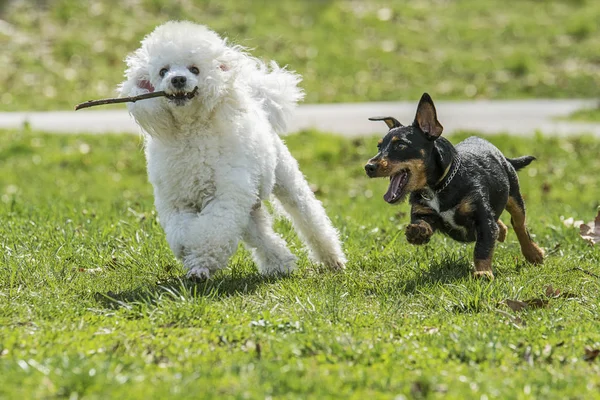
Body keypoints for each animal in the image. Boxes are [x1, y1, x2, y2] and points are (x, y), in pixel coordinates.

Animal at [364, 93, 548, 278]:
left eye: (401, 145)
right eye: (379, 146)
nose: (368, 167)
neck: (437, 187)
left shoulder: (483, 218)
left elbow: (482, 247)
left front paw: (483, 272)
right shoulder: (423, 212)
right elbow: (423, 223)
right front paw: (417, 232)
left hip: (515, 196)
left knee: (519, 225)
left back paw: (533, 253)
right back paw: (502, 232)